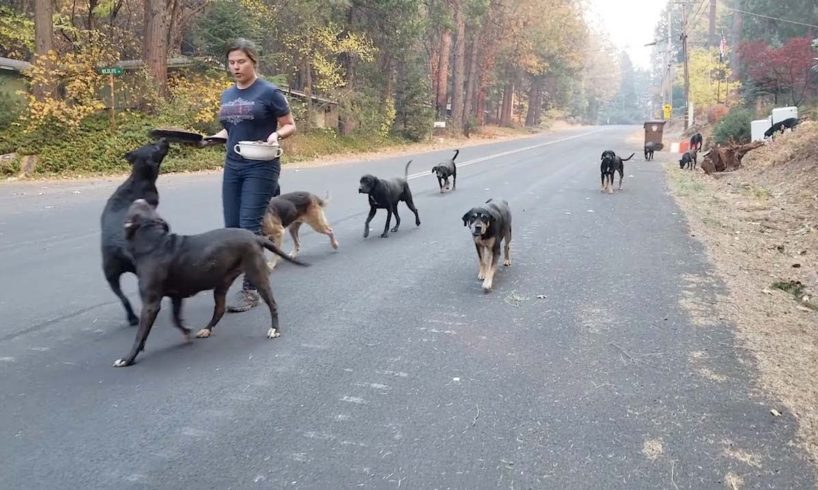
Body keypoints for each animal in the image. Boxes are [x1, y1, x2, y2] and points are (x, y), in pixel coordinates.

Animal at [101, 140, 171, 328]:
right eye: (154, 147)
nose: (164, 138)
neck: (137, 179)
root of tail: (117, 246)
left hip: (111, 276)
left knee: (123, 298)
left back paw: (132, 318)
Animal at [113, 199, 308, 368]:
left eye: (136, 208)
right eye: (145, 206)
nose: (139, 199)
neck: (153, 240)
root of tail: (255, 237)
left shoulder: (150, 304)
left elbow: (140, 335)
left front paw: (127, 359)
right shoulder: (176, 297)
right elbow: (175, 318)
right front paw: (186, 332)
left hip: (257, 276)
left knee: (272, 304)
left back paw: (274, 329)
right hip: (221, 285)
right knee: (219, 310)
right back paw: (206, 329)